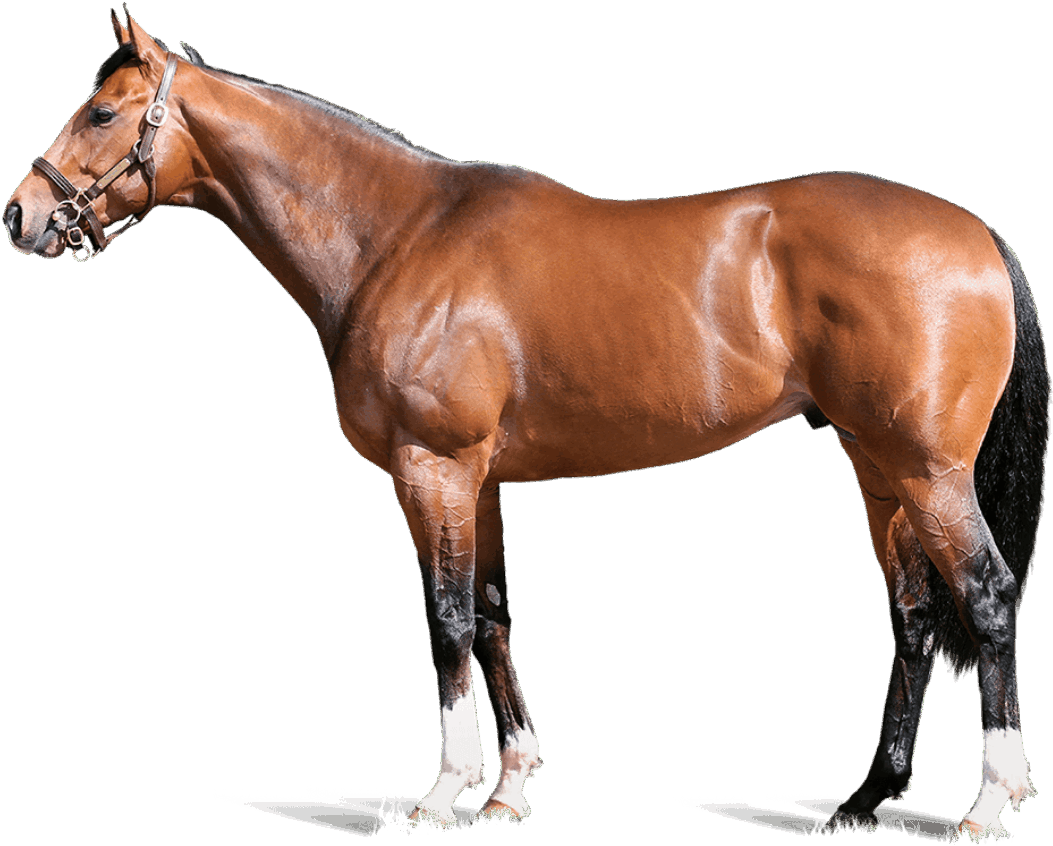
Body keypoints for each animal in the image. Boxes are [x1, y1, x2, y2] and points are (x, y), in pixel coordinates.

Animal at [6, 11, 1046, 837]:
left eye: (102, 112)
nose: (18, 216)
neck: (397, 236)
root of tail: (974, 233)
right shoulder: (483, 479)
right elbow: (497, 613)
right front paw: (507, 789)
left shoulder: (431, 467)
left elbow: (447, 616)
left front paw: (443, 792)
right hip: (878, 470)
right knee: (913, 616)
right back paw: (868, 800)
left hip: (928, 471)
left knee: (986, 597)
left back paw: (987, 802)